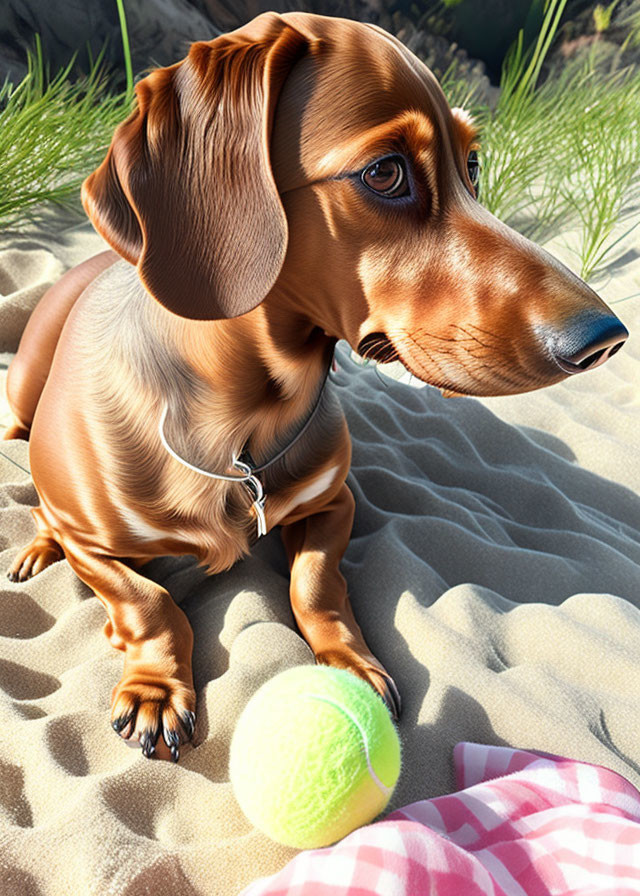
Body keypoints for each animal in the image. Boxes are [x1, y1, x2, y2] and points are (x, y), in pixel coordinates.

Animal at [2, 10, 628, 760]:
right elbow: (148, 602)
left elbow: (315, 584)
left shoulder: (335, 503)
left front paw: (350, 661)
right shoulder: (94, 544)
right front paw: (154, 686)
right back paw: (36, 545)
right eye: (385, 172)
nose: (607, 339)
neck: (241, 427)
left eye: (471, 166)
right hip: (23, 400)